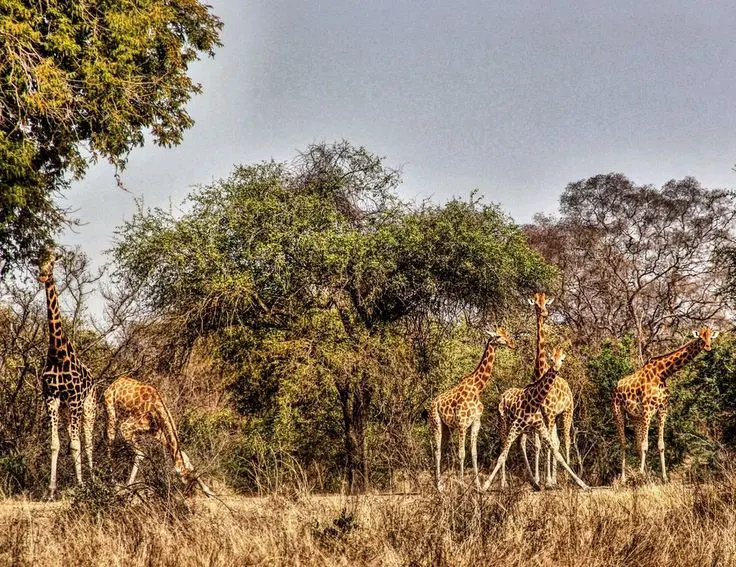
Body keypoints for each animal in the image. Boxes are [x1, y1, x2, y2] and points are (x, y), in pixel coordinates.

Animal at [429, 327, 516, 490]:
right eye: (498, 336)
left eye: (507, 334)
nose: (512, 344)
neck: (477, 388)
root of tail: (433, 402)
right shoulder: (462, 423)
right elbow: (462, 453)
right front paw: (462, 484)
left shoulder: (476, 422)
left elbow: (474, 453)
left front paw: (477, 485)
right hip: (436, 422)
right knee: (437, 451)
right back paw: (439, 486)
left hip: (447, 428)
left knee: (442, 449)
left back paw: (441, 482)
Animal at [483, 347, 590, 491]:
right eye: (551, 359)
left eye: (562, 359)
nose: (556, 368)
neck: (534, 401)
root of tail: (503, 394)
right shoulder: (524, 424)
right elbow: (503, 456)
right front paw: (485, 485)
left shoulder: (541, 425)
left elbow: (556, 452)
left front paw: (582, 484)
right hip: (505, 423)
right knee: (503, 448)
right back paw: (505, 483)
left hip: (559, 416)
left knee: (523, 445)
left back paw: (536, 482)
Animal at [612, 326, 717, 483]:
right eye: (700, 338)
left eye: (711, 336)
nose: (708, 347)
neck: (662, 374)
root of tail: (615, 387)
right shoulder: (648, 410)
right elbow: (645, 445)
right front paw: (641, 475)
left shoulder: (663, 409)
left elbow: (660, 445)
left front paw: (664, 477)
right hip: (618, 410)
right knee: (623, 443)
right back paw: (624, 478)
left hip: (635, 417)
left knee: (636, 443)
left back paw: (642, 473)